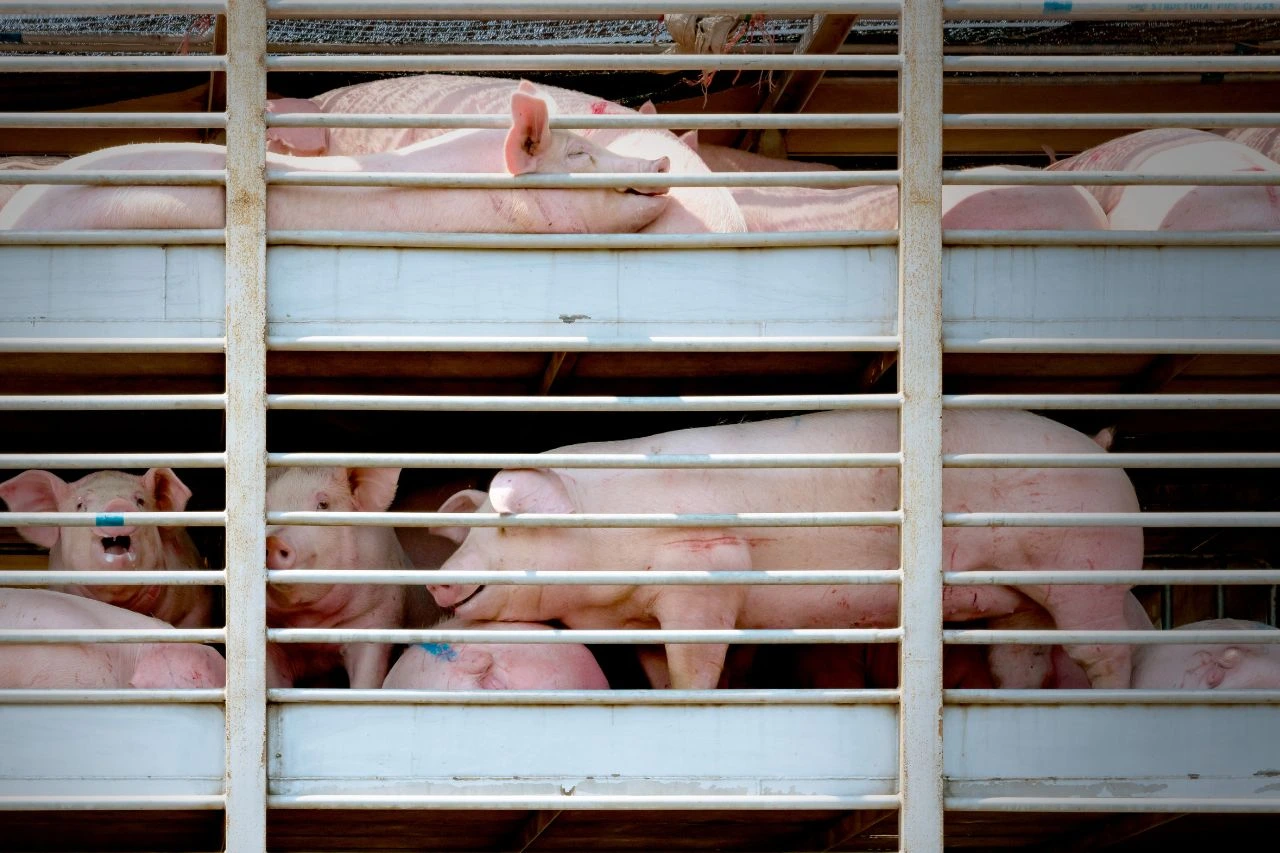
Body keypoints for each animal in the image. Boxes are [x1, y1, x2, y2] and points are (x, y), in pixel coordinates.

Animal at [425, 409, 1144, 690]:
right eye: (466, 531)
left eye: (500, 528)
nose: (436, 577)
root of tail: (1100, 449)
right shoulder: (638, 618)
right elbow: (661, 669)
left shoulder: (708, 563)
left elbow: (697, 659)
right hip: (1022, 596)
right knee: (1021, 655)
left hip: (1088, 566)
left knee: (1102, 647)